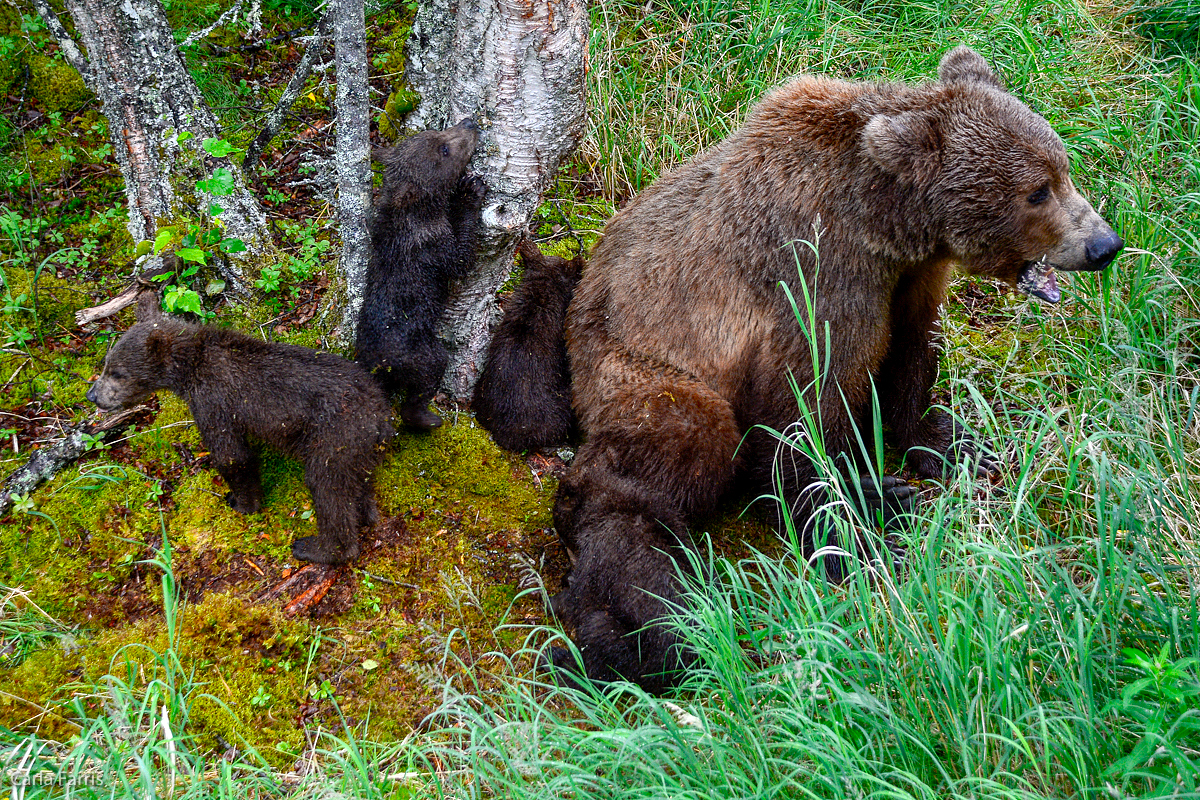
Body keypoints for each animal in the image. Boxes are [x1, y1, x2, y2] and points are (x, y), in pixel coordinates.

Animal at [549, 47, 1123, 690]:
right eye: (1036, 191)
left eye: (1063, 167)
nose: (1104, 244)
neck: (884, 222)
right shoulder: (817, 277)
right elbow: (801, 412)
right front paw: (865, 518)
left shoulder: (907, 280)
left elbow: (910, 354)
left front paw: (954, 443)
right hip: (639, 366)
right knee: (660, 460)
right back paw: (645, 618)